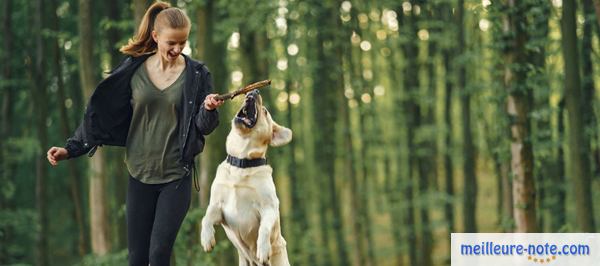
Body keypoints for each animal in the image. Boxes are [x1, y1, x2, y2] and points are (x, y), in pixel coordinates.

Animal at [202, 88, 292, 264]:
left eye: (265, 111)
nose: (255, 90)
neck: (242, 162)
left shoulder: (269, 207)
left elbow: (264, 228)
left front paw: (263, 249)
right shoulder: (218, 206)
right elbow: (206, 217)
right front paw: (206, 238)